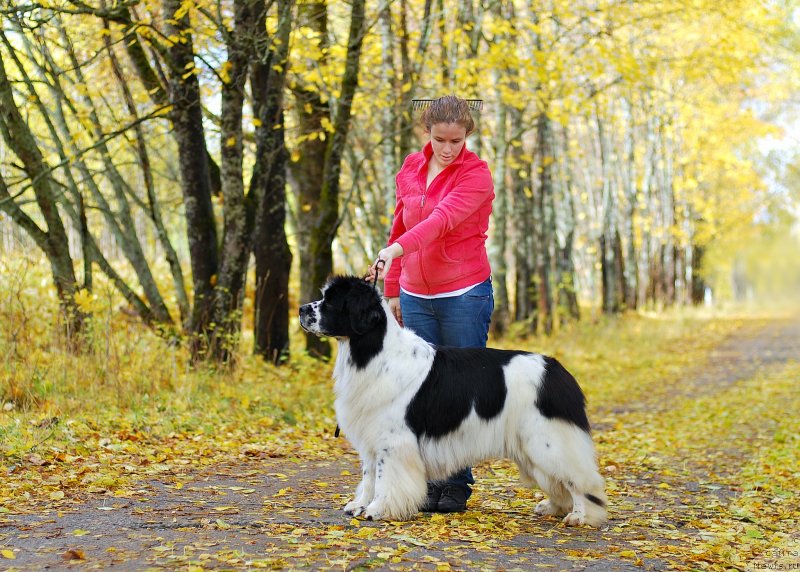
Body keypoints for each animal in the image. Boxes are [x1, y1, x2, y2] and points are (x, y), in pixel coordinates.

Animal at [298, 276, 608, 528]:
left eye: (331, 302)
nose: (301, 309)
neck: (372, 352)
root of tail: (557, 371)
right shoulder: (372, 437)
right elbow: (369, 475)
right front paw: (361, 504)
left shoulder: (393, 441)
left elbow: (386, 477)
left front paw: (377, 510)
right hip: (532, 448)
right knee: (558, 483)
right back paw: (553, 507)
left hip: (549, 441)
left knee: (580, 480)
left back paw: (581, 516)